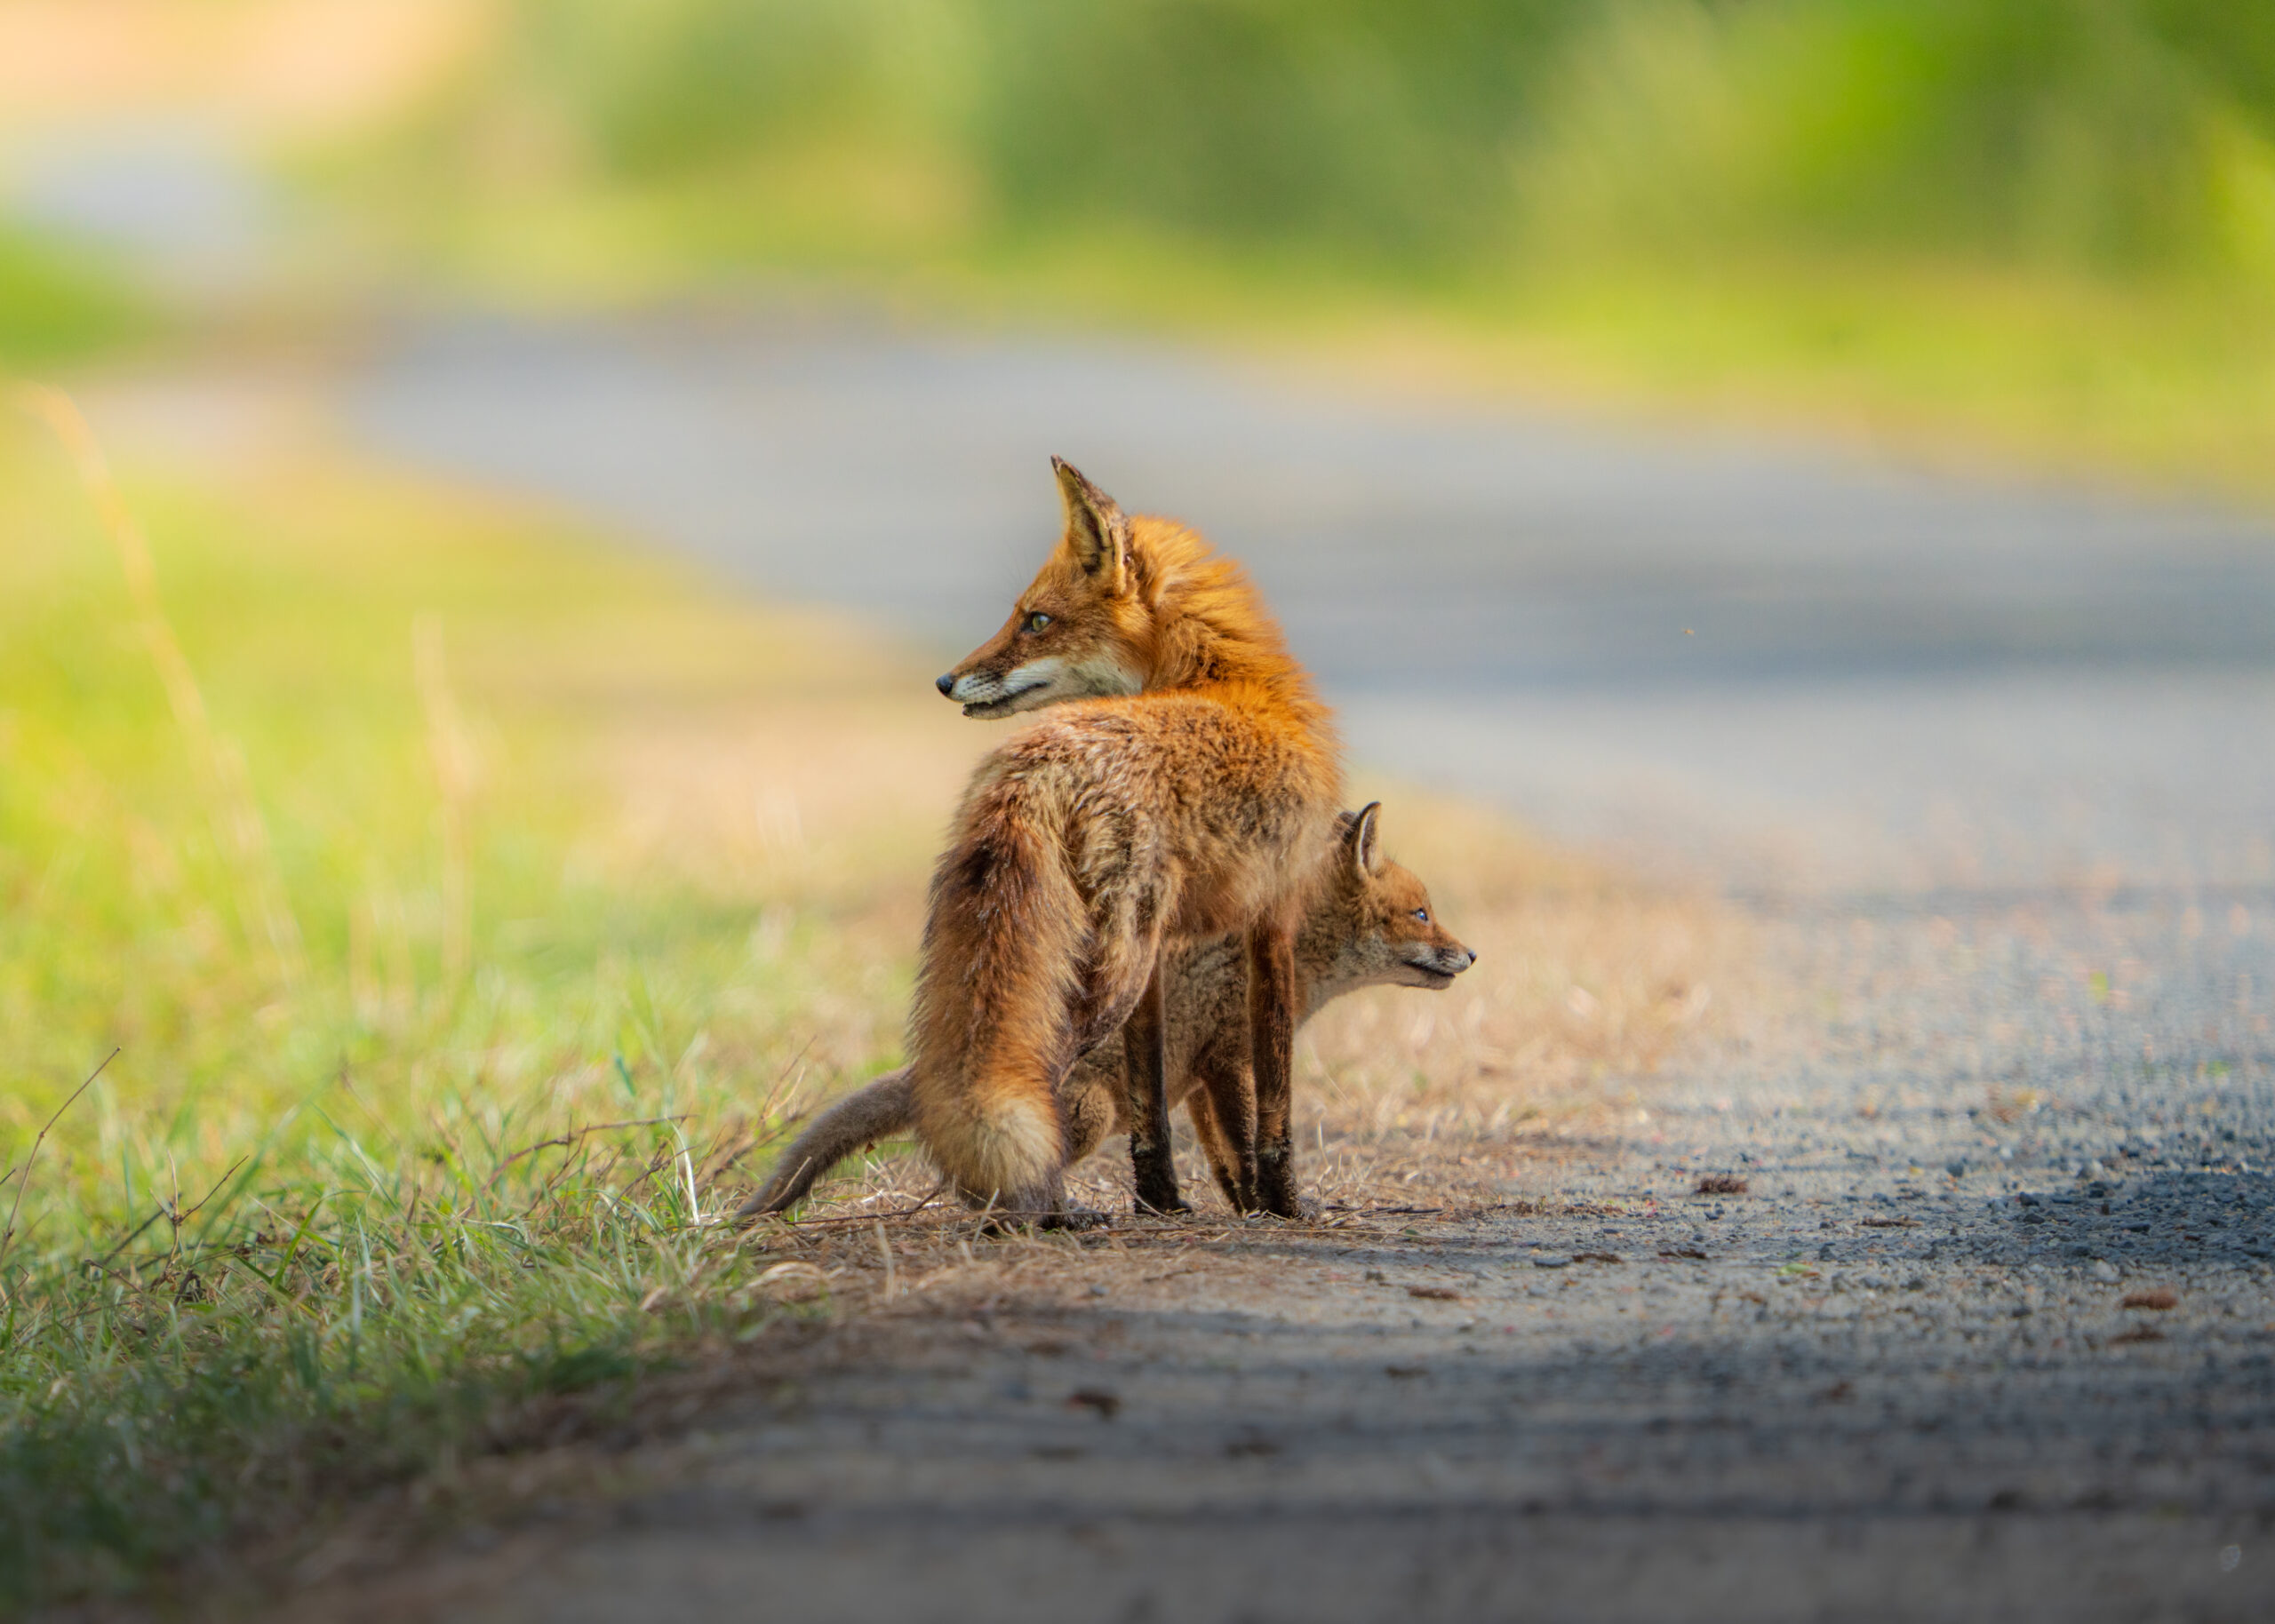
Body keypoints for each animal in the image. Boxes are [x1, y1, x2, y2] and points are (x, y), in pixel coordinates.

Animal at [739, 804, 1476, 1218]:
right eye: (1421, 914)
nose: (1470, 954)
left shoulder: (1204, 1076)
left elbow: (1225, 1160)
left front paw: (1244, 1209)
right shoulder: (1231, 1058)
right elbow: (1246, 1145)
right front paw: (1281, 1210)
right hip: (1088, 1111)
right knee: (997, 1181)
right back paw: (1046, 1216)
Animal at [910, 457, 1343, 1218]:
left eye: (1037, 621)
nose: (943, 680)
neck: (1230, 682)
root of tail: (1041, 758)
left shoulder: (1172, 953)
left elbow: (1149, 1099)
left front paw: (1161, 1200)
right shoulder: (1277, 916)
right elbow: (1276, 1095)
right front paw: (1284, 1203)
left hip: (1113, 950)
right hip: (1111, 965)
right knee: (1047, 1067)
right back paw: (1045, 1208)